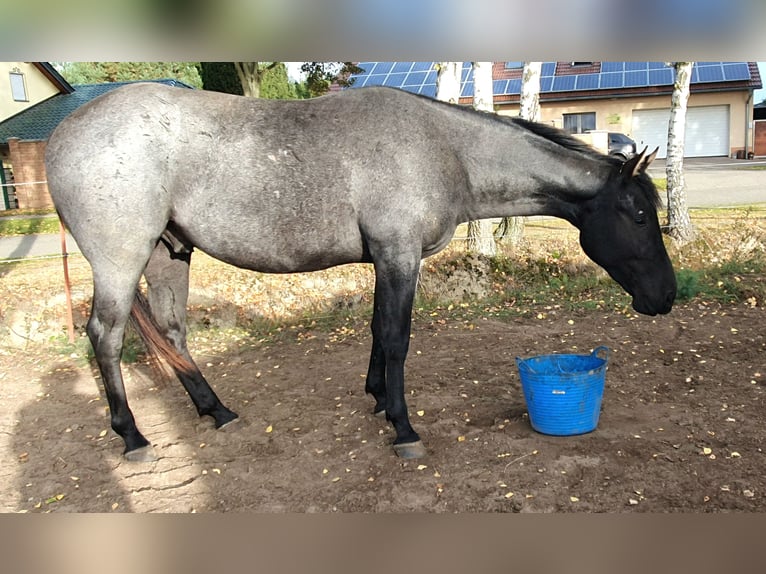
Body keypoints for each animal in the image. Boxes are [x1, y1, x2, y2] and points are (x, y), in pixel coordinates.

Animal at [45, 83, 676, 461]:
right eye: (640, 214)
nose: (666, 297)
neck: (444, 149)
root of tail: (61, 136)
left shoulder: (386, 259)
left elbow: (377, 331)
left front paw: (376, 398)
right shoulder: (399, 254)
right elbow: (397, 338)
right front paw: (403, 428)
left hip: (168, 253)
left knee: (172, 333)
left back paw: (216, 411)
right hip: (121, 261)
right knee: (105, 337)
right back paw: (132, 436)